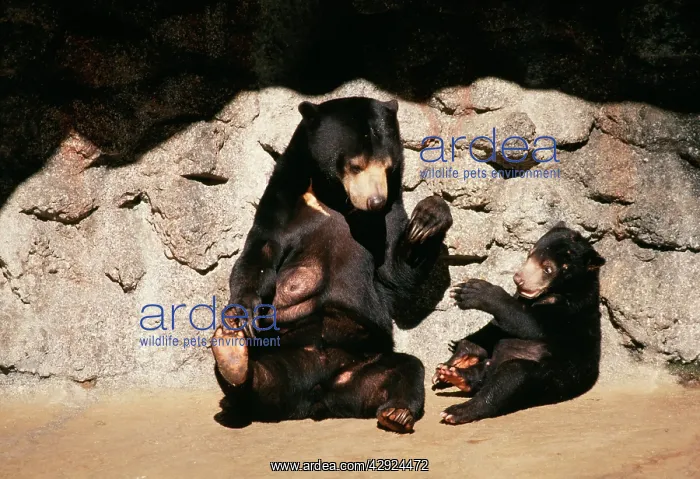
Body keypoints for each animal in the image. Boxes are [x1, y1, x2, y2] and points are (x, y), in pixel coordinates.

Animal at [211, 97, 453, 433]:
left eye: (388, 167)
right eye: (355, 165)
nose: (375, 201)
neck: (336, 199)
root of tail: (315, 397)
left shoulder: (390, 212)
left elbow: (394, 275)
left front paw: (430, 217)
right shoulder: (281, 202)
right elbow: (259, 253)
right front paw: (241, 313)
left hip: (363, 362)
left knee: (408, 367)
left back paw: (397, 412)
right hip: (281, 352)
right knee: (258, 380)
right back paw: (232, 359)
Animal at [432, 222, 605, 425]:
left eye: (548, 269)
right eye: (530, 254)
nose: (519, 279)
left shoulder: (572, 310)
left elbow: (530, 323)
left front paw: (474, 291)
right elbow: (497, 326)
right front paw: (461, 353)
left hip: (555, 377)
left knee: (509, 379)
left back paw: (457, 410)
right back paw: (452, 372)